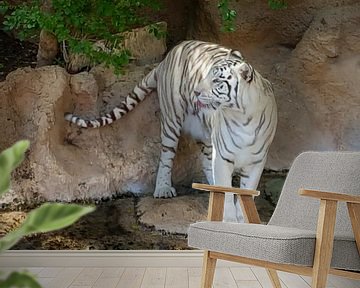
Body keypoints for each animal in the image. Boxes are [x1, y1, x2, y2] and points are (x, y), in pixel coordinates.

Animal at [65, 39, 278, 222]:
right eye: (207, 75)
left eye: (217, 81)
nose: (197, 92)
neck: (242, 117)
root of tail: (168, 56)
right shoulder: (224, 157)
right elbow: (226, 189)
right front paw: (228, 220)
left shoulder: (257, 161)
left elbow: (247, 191)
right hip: (171, 121)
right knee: (166, 156)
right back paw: (163, 189)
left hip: (204, 132)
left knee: (206, 160)